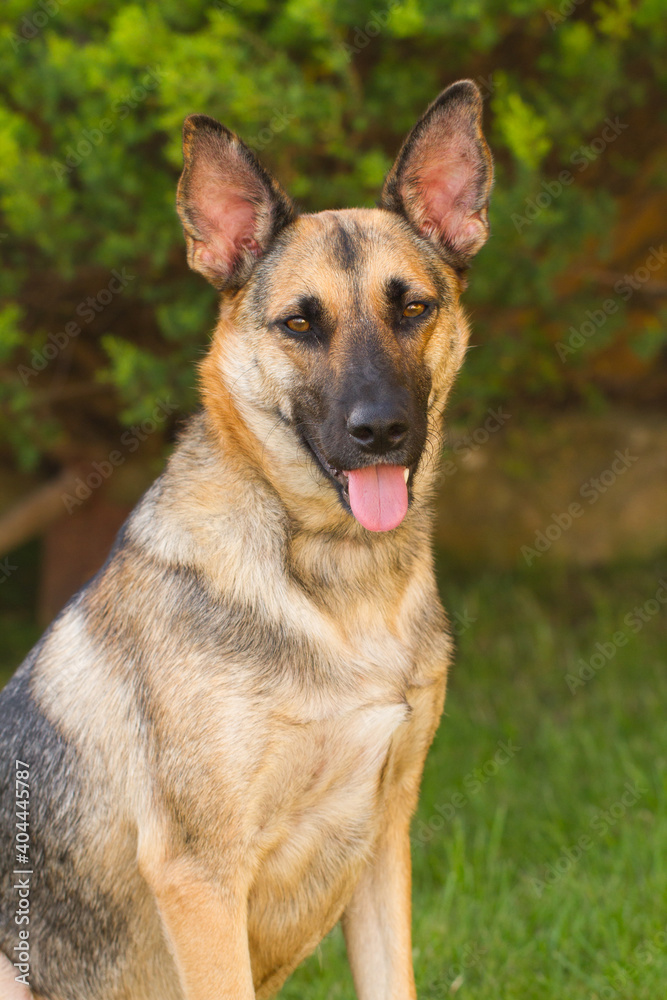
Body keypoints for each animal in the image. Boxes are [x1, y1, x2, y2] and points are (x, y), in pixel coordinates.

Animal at [0, 80, 490, 1000]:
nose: (382, 432)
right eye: (300, 324)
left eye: (412, 307)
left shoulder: (382, 845)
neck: (339, 583)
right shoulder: (201, 878)